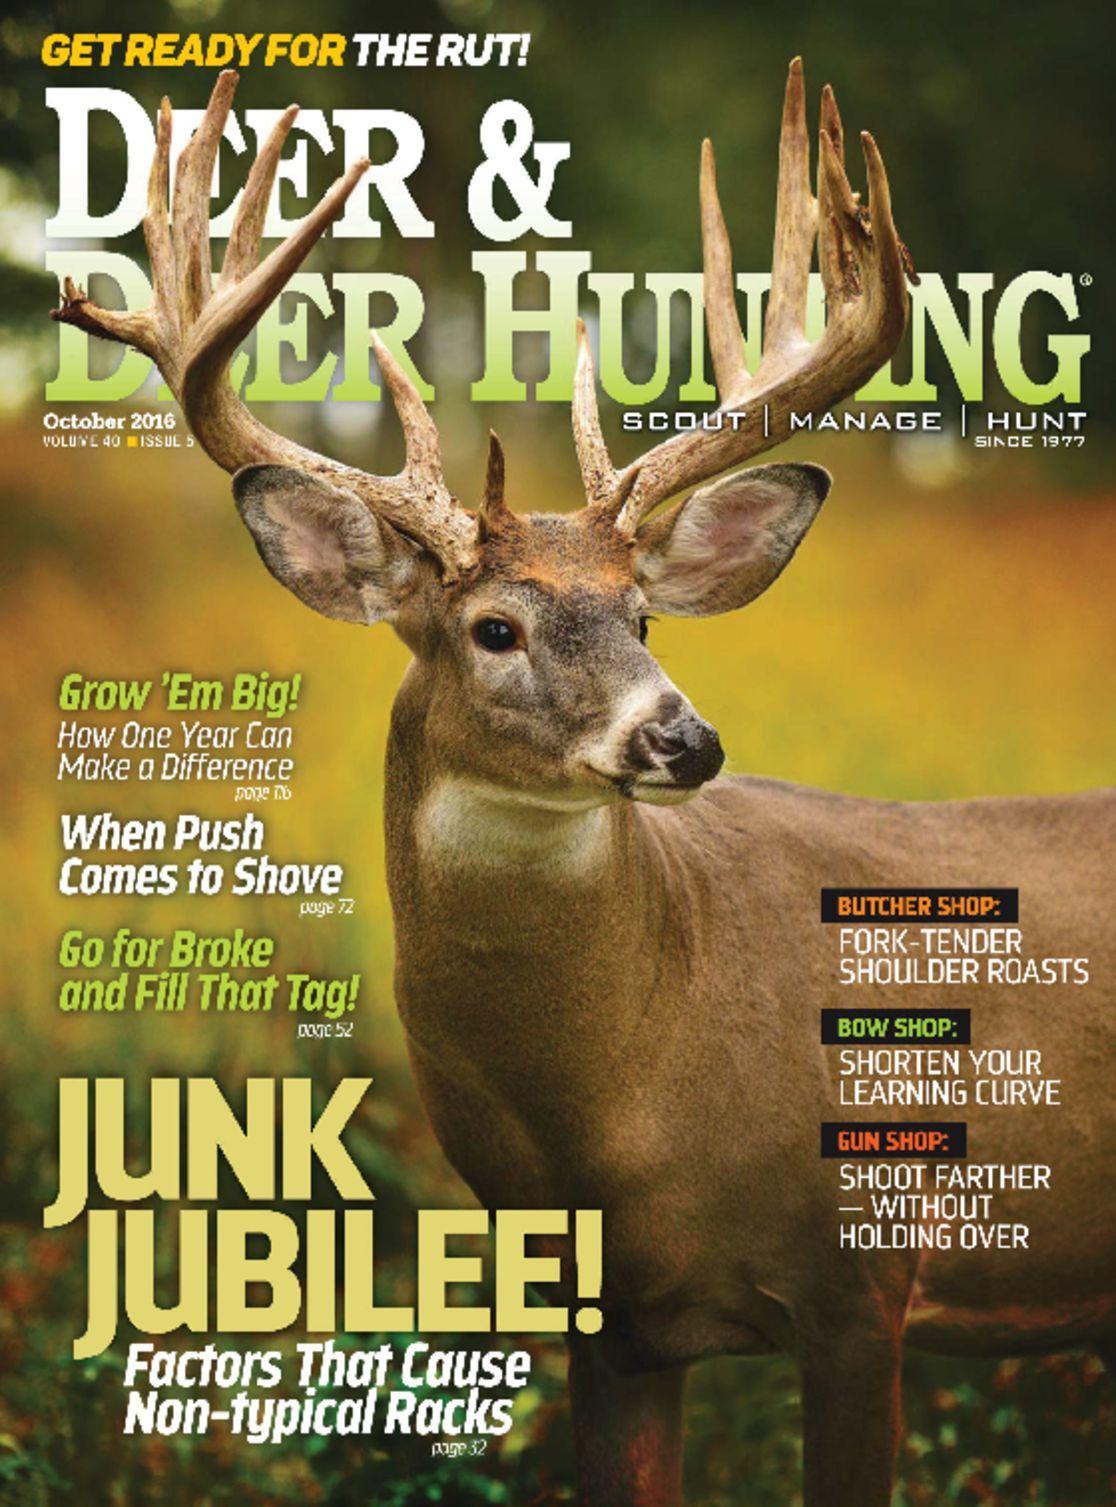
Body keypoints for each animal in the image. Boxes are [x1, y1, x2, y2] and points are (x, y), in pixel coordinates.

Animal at [53, 60, 1114, 1507]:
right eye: (494, 627)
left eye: (644, 615)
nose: (685, 741)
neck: (619, 1121)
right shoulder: (600, 1322)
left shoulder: (866, 1280)